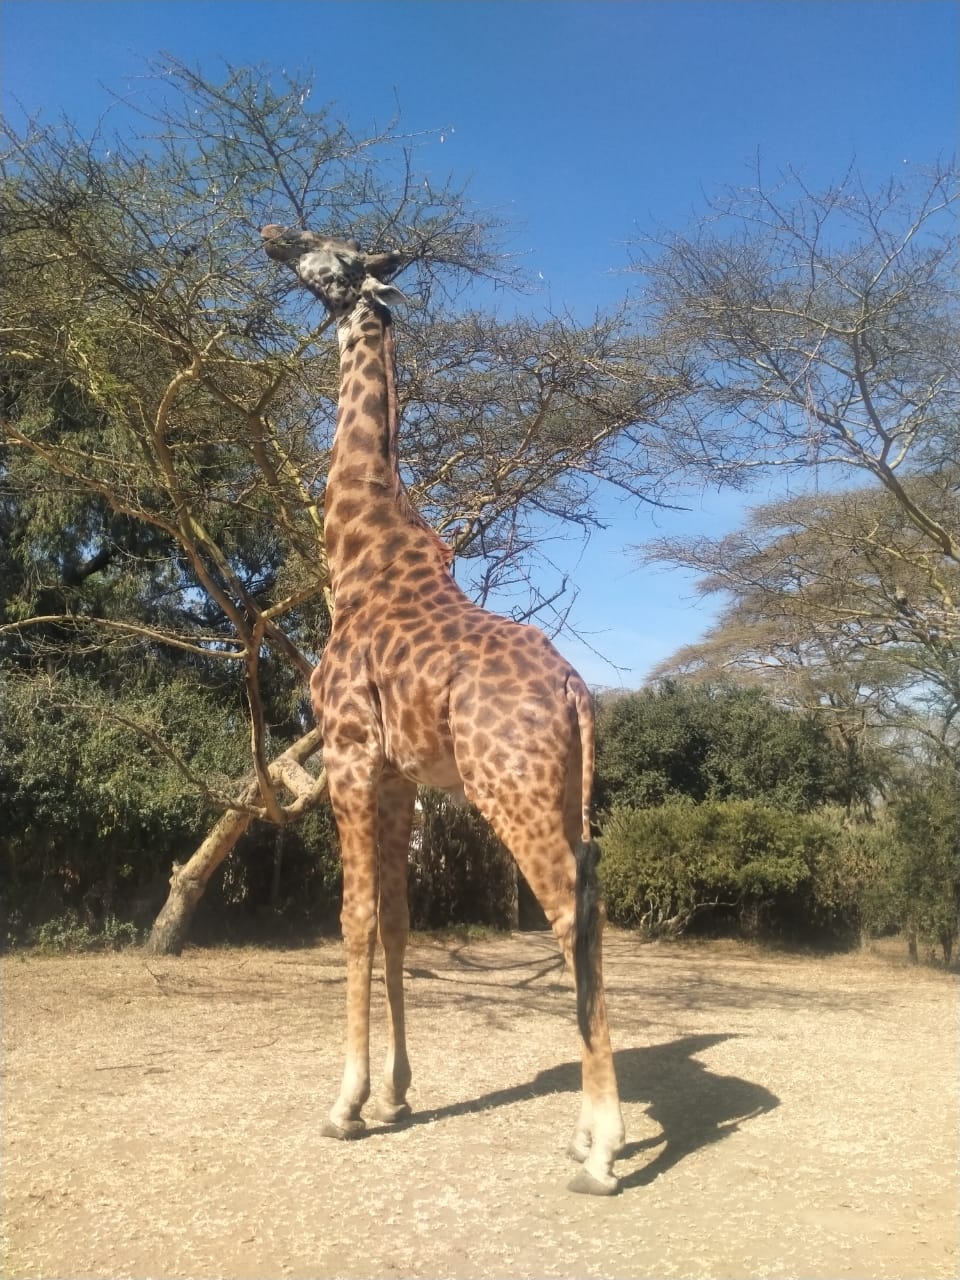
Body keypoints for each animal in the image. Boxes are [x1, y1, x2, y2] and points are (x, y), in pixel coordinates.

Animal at [262, 225, 625, 1194]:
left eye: (330, 255)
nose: (271, 235)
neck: (359, 555)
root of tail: (574, 692)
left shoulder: (349, 754)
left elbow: (352, 920)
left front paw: (345, 1106)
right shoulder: (398, 779)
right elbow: (396, 922)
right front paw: (395, 1096)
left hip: (511, 789)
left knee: (572, 916)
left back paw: (605, 1149)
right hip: (563, 793)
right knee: (590, 915)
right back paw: (586, 1132)